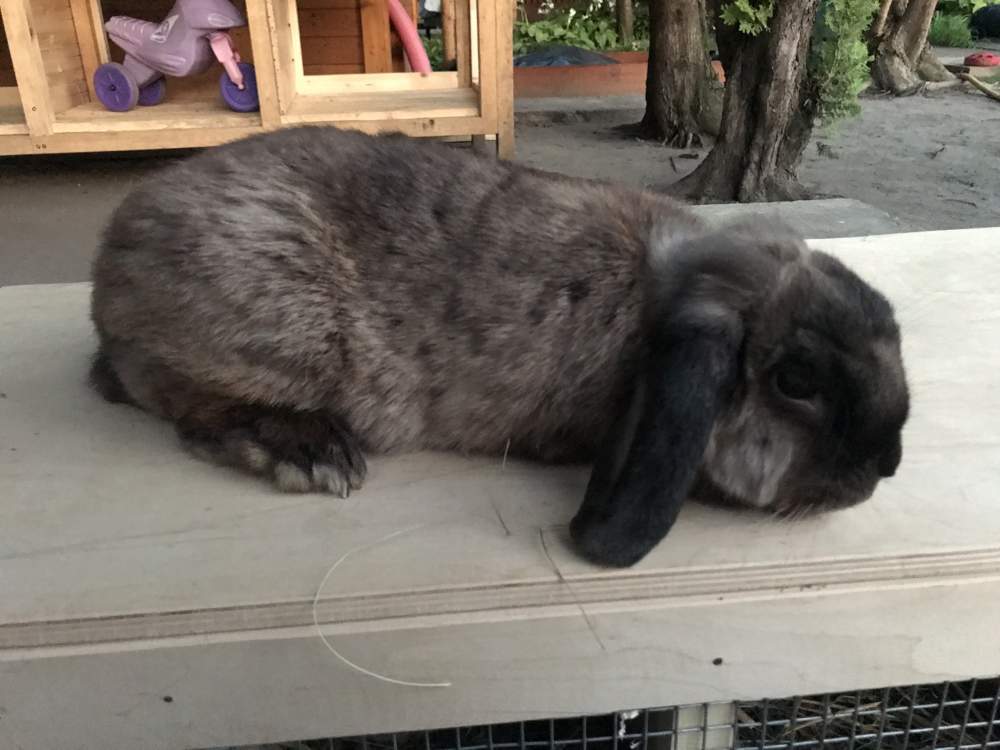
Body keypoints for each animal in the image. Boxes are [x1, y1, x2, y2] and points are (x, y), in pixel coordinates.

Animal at [90, 125, 912, 568]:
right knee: (197, 408)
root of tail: (112, 264)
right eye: (797, 381)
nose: (887, 465)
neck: (661, 292)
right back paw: (312, 450)